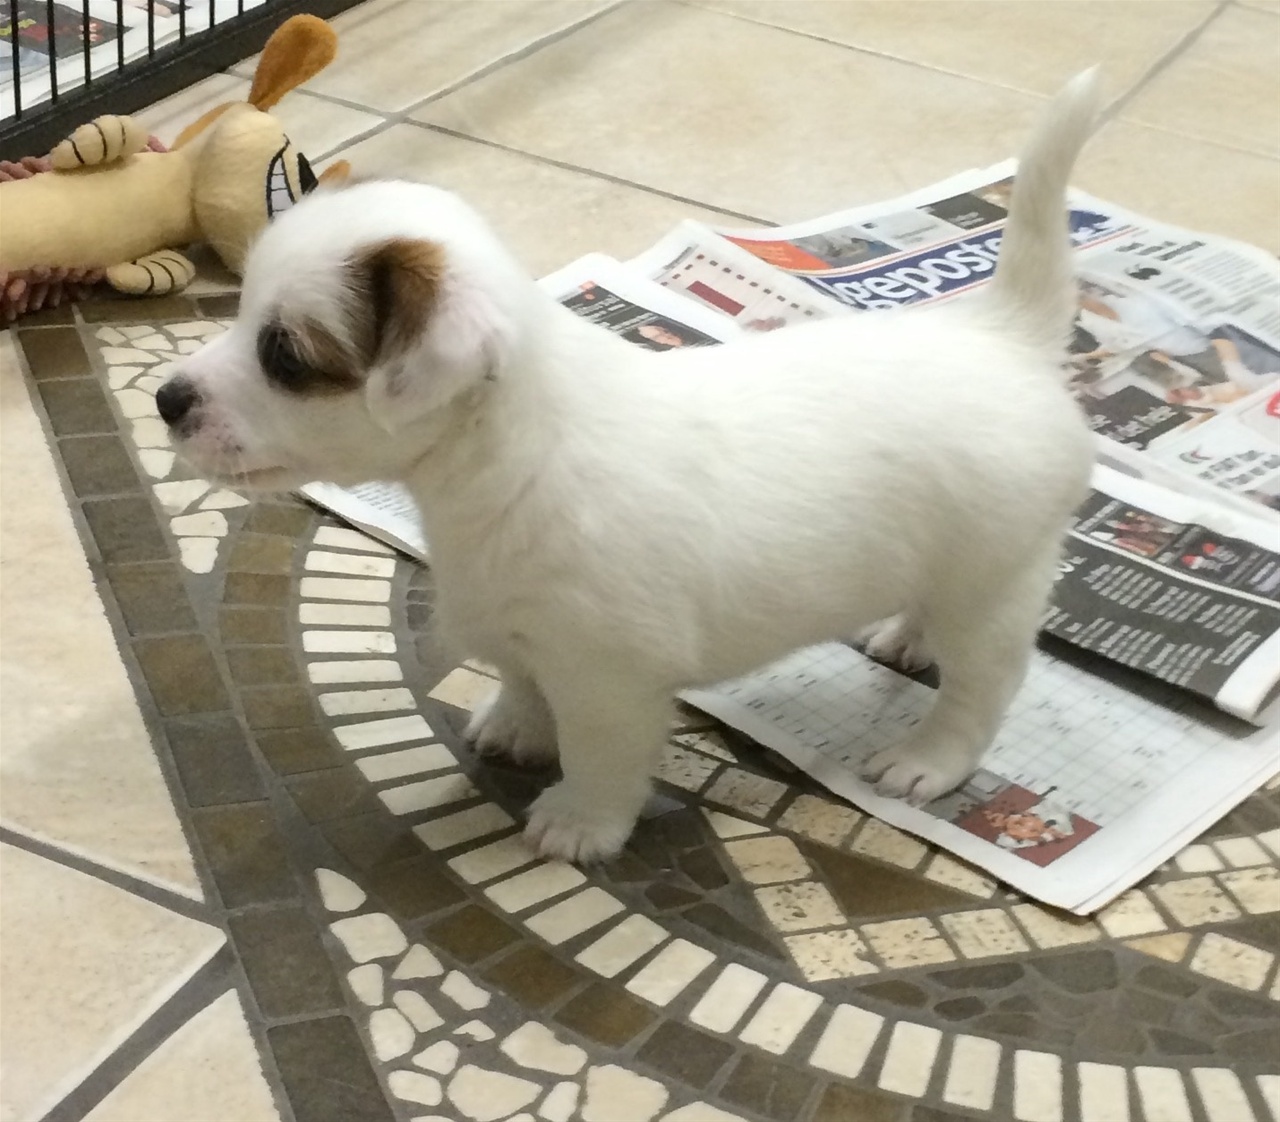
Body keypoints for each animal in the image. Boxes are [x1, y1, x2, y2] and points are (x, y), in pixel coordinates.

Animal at [157, 69, 1101, 863]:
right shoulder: (521, 635)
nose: (166, 399)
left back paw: (925, 759)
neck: (501, 460)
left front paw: (578, 824)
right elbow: (522, 684)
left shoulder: (609, 679)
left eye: (285, 355)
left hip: (993, 584)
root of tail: (1005, 335)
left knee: (983, 686)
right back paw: (903, 634)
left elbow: (600, 757)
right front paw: (515, 727)